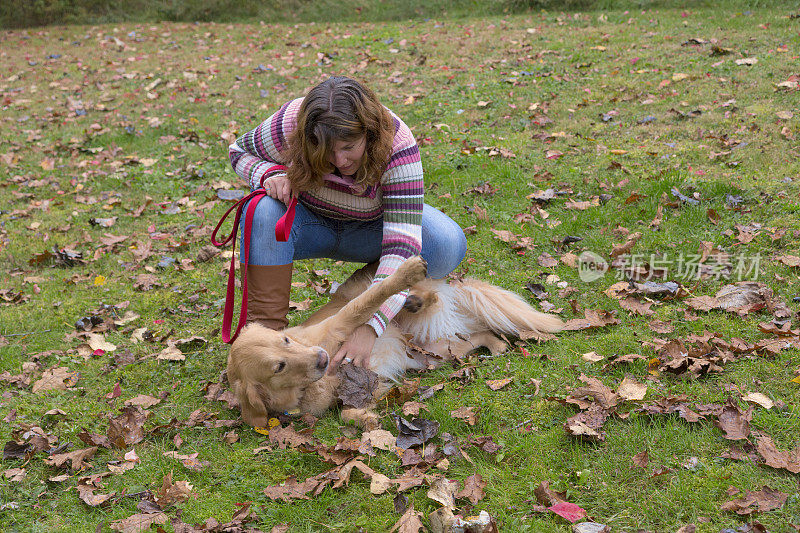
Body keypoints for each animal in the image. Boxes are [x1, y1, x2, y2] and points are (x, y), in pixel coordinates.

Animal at [225, 255, 564, 428]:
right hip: (434, 353)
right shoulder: (360, 386)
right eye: (278, 367)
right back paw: (496, 347)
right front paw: (369, 417)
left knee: (417, 296)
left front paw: (404, 274)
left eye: (285, 339)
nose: (322, 358)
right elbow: (348, 411)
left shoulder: (340, 324)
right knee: (479, 334)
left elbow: (367, 301)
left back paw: (414, 295)